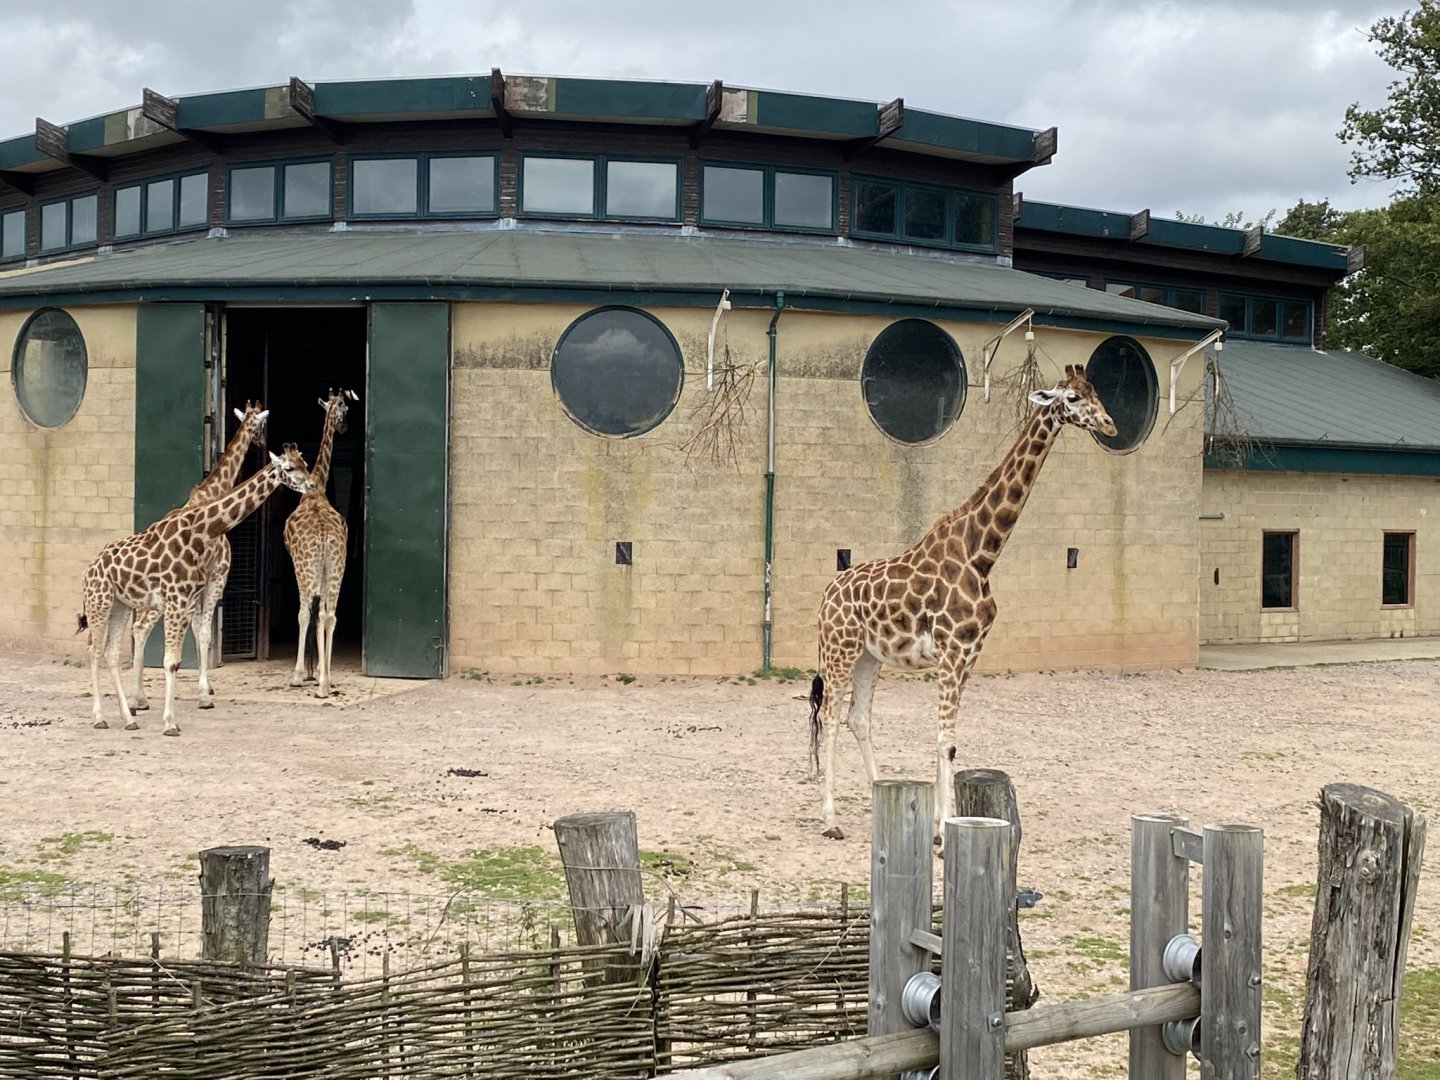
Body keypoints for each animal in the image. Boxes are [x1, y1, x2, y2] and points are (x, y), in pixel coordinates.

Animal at [81, 446, 314, 735]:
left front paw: (177, 713)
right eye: (289, 468)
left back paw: (129, 719)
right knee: (94, 651)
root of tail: (88, 570)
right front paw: (171, 723)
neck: (201, 532)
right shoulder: (177, 599)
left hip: (120, 605)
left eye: (304, 463)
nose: (312, 485)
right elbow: (171, 660)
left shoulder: (187, 600)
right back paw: (99, 717)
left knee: (111, 653)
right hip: (99, 603)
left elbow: (179, 657)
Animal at [127, 402, 270, 713]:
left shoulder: (197, 587)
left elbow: (195, 629)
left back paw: (139, 697)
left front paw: (206, 687)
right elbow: (204, 631)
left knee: (138, 627)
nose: (263, 443)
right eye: (263, 425)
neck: (212, 493)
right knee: (142, 627)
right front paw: (204, 693)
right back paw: (136, 697)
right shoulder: (218, 574)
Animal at [808, 365, 1117, 840]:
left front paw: (939, 825)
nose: (1110, 425)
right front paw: (942, 830)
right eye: (1071, 397)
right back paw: (830, 821)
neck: (982, 554)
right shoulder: (952, 651)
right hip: (839, 650)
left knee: (857, 717)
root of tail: (826, 594)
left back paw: (880, 797)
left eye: (1095, 391)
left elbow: (950, 740)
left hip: (868, 655)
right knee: (828, 715)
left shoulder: (971, 653)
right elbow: (945, 739)